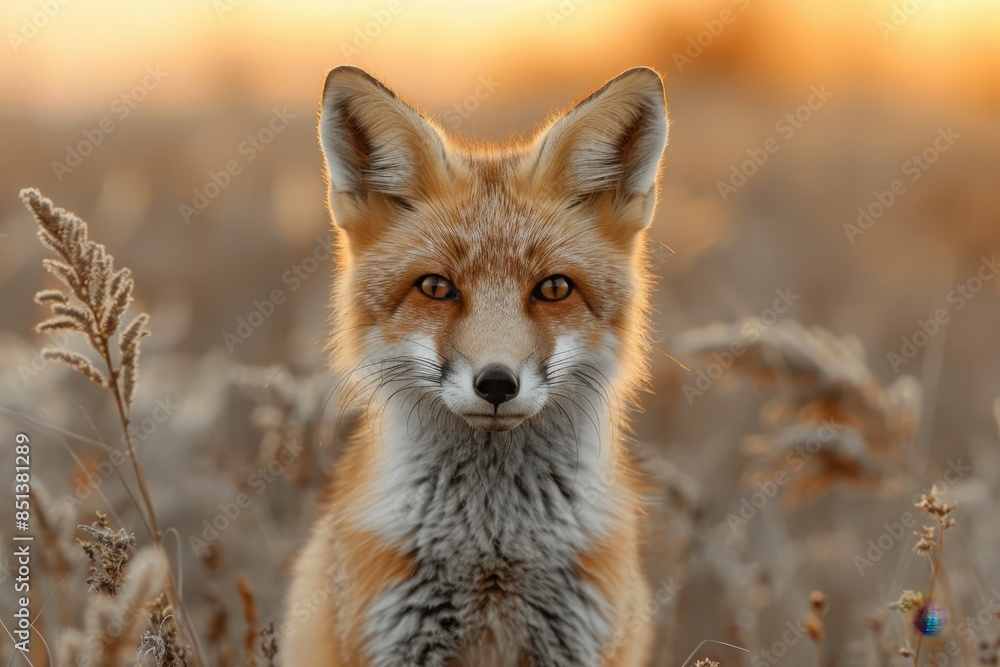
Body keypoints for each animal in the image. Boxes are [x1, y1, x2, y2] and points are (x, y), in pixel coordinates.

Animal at [283, 65, 669, 666]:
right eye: (436, 288)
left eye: (553, 289)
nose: (496, 383)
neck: (494, 548)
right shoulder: (397, 635)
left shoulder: (575, 639)